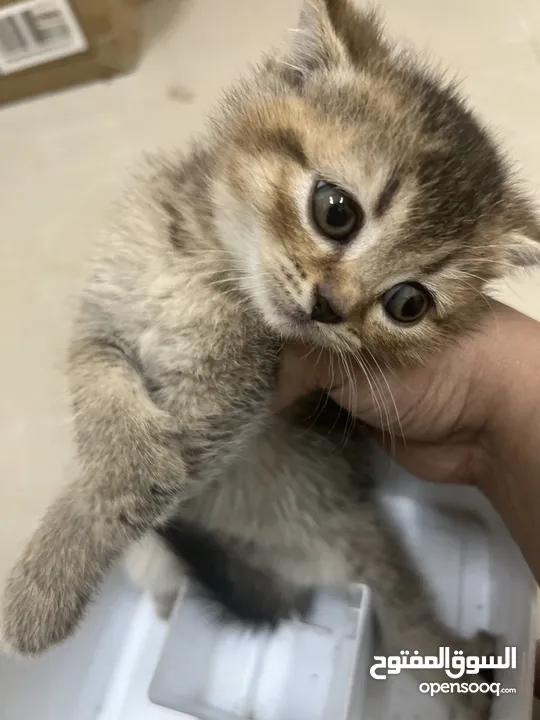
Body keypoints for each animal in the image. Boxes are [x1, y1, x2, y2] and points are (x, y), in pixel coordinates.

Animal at [2, 1, 536, 716]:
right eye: (336, 211)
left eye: (407, 304)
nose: (331, 307)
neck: (202, 263)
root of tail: (287, 568)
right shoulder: (101, 324)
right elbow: (100, 397)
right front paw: (114, 464)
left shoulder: (231, 397)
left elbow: (124, 488)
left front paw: (38, 591)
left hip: (362, 542)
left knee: (404, 609)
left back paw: (460, 677)